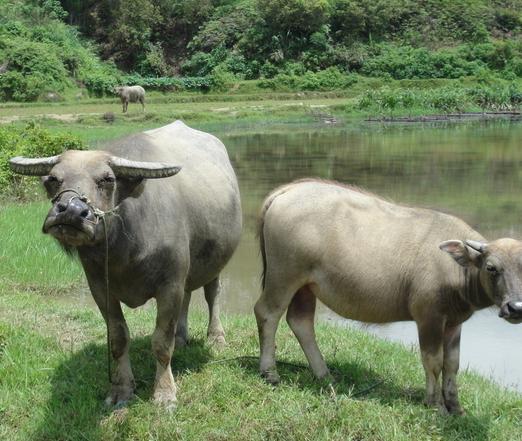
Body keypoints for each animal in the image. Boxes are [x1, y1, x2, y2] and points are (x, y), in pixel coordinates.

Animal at [9, 121, 242, 410]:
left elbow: (161, 341)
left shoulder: (169, 285)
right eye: (53, 179)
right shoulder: (101, 288)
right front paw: (121, 389)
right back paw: (181, 337)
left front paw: (164, 393)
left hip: (216, 262)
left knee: (212, 295)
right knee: (189, 296)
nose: (71, 212)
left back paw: (216, 337)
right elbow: (118, 338)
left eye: (107, 179)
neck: (126, 249)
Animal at [254, 178, 520, 412]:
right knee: (267, 313)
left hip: (306, 286)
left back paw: (324, 374)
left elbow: (452, 364)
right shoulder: (429, 316)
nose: (516, 307)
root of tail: (287, 191)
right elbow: (433, 361)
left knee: (301, 322)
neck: (457, 268)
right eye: (491, 267)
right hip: (284, 275)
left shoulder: (454, 322)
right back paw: (270, 372)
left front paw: (456, 407)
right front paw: (435, 405)